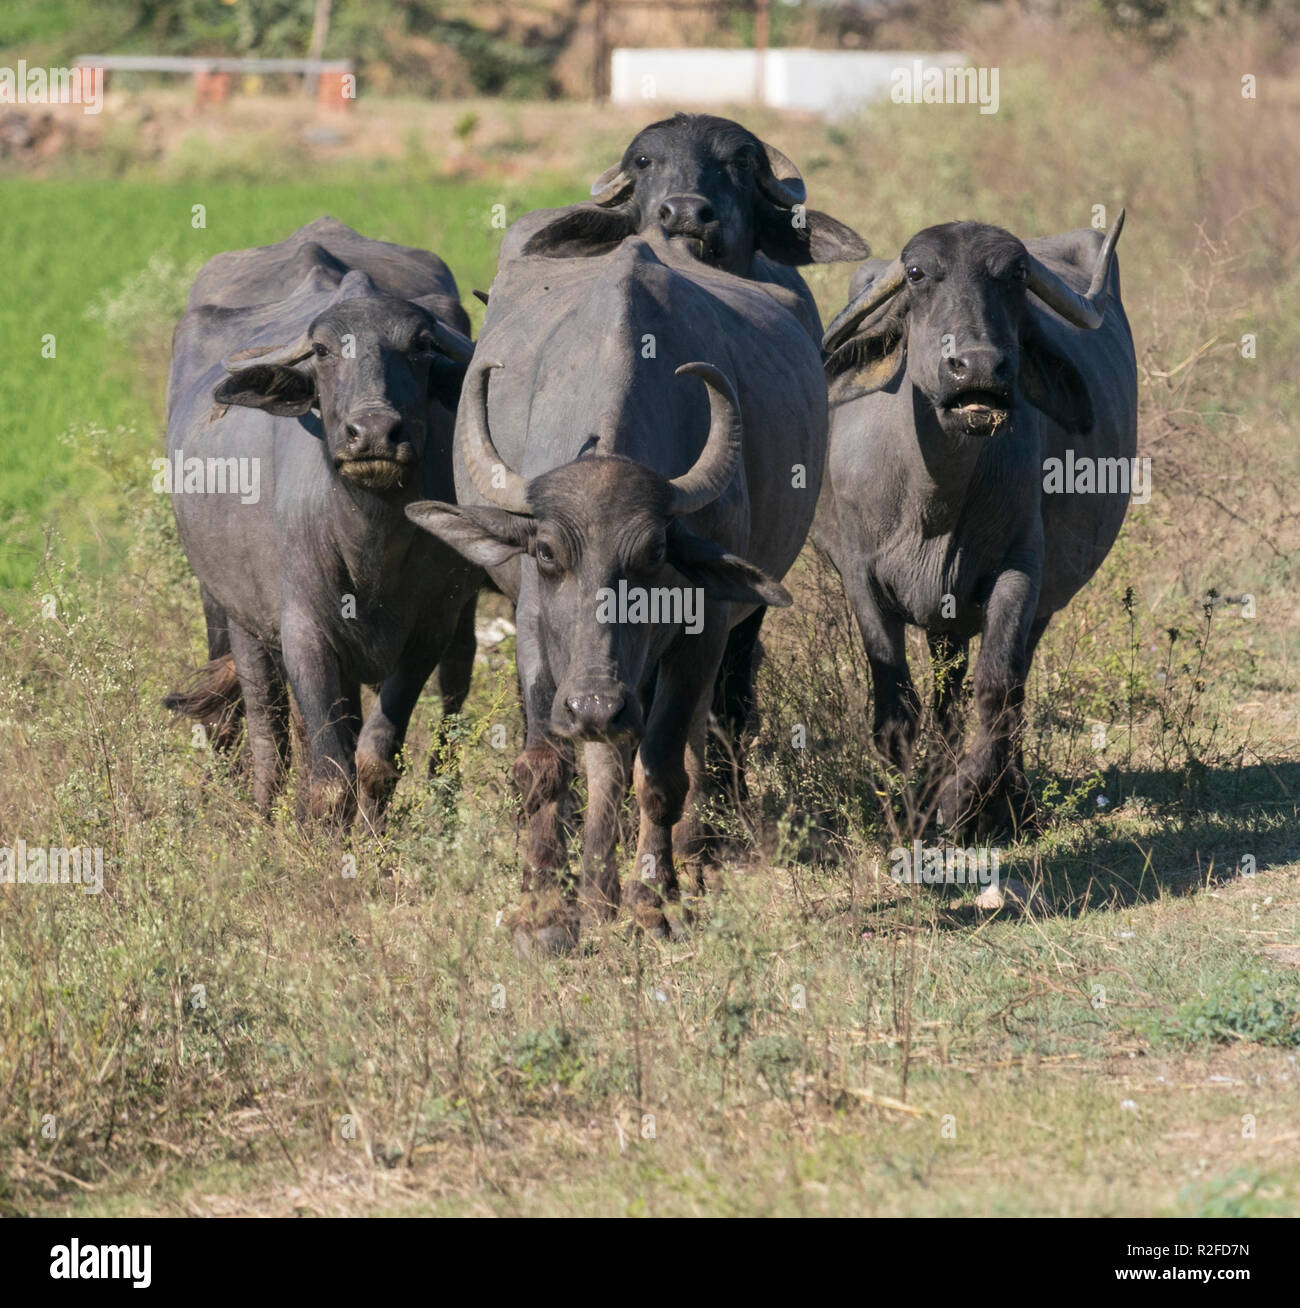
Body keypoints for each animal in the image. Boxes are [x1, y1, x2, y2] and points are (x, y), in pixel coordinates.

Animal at [163, 218, 481, 821]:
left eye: (421, 346)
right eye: (323, 350)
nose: (374, 432)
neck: (370, 544)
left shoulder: (431, 627)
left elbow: (375, 758)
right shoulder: (305, 633)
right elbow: (329, 773)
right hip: (234, 614)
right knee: (267, 732)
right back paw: (263, 810)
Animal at [405, 232, 821, 952]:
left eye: (653, 554)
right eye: (546, 552)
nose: (595, 705)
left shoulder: (702, 633)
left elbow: (662, 771)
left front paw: (654, 902)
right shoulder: (538, 637)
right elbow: (546, 765)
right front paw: (546, 910)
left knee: (690, 740)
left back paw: (680, 866)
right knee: (606, 757)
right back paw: (595, 893)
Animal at [816, 209, 1129, 831]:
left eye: (1015, 275)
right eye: (917, 274)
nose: (977, 367)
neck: (933, 504)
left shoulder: (1020, 572)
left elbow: (997, 688)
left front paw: (963, 799)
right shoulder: (860, 579)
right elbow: (897, 711)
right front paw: (906, 814)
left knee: (1002, 685)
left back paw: (1011, 800)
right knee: (944, 694)